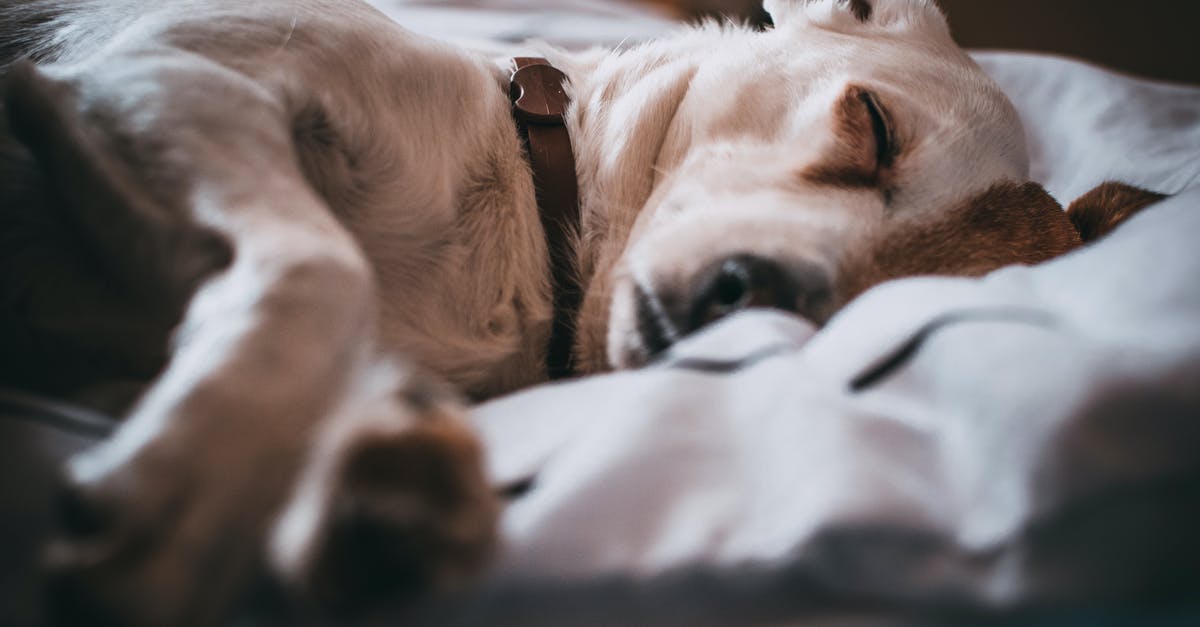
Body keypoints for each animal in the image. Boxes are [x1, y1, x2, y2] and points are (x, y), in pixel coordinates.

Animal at [0, 0, 1161, 619]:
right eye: (872, 125)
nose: (751, 295)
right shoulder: (152, 74)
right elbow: (323, 271)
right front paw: (184, 508)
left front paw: (373, 498)